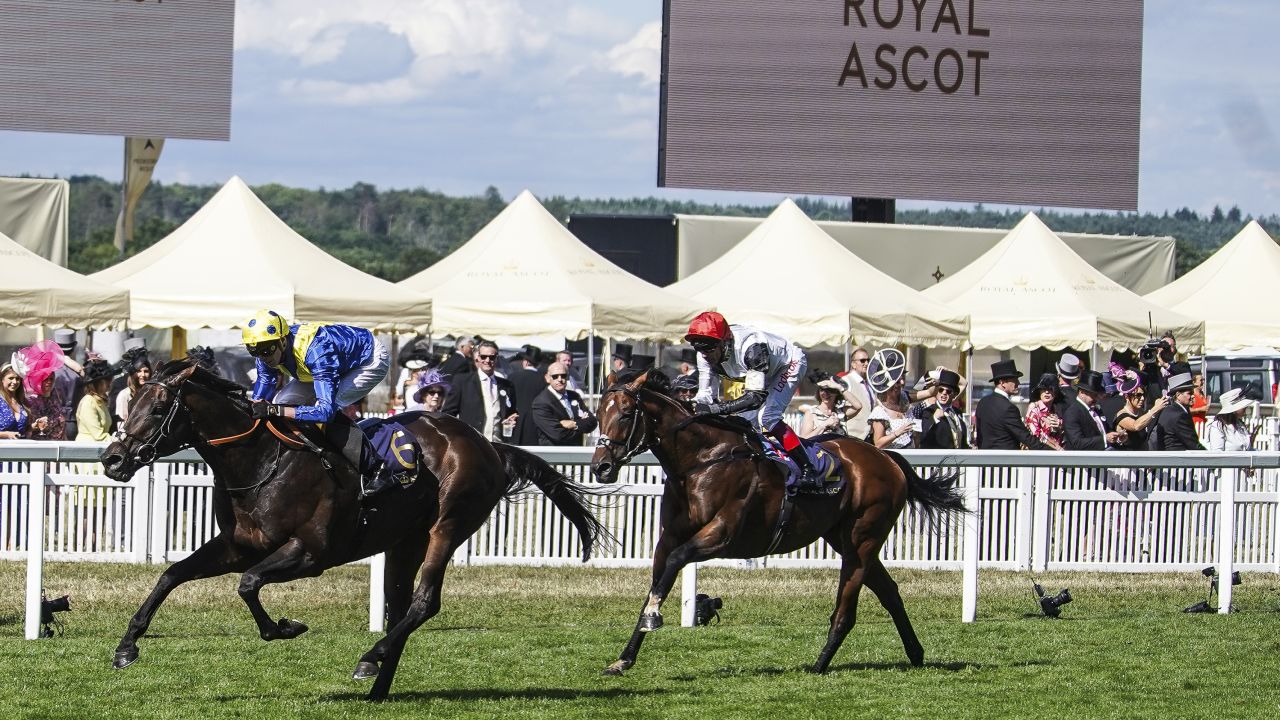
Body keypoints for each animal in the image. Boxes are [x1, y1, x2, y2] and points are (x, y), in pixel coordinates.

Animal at [102, 356, 606, 696]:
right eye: (132, 402)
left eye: (158, 408)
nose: (112, 459)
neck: (262, 460)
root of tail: (488, 444)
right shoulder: (239, 544)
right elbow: (172, 574)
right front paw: (127, 647)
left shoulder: (310, 552)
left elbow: (247, 585)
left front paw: (284, 627)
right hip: (405, 541)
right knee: (402, 608)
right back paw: (379, 686)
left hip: (447, 526)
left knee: (425, 602)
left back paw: (369, 660)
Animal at [586, 368, 962, 671]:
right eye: (598, 414)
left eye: (626, 413)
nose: (601, 467)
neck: (702, 460)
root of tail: (885, 457)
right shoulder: (668, 539)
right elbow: (658, 583)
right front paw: (624, 658)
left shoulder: (721, 535)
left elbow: (674, 565)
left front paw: (653, 618)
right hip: (842, 538)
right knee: (890, 592)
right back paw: (915, 654)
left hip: (862, 539)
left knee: (847, 608)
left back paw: (819, 665)